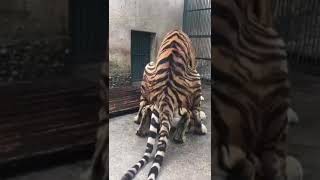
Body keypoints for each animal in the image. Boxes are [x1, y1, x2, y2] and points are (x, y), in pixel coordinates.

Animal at [120, 29, 208, 180]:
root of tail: (166, 90)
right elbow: (194, 112)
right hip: (196, 77)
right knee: (193, 112)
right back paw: (197, 130)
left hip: (148, 71)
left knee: (144, 107)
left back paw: (140, 126)